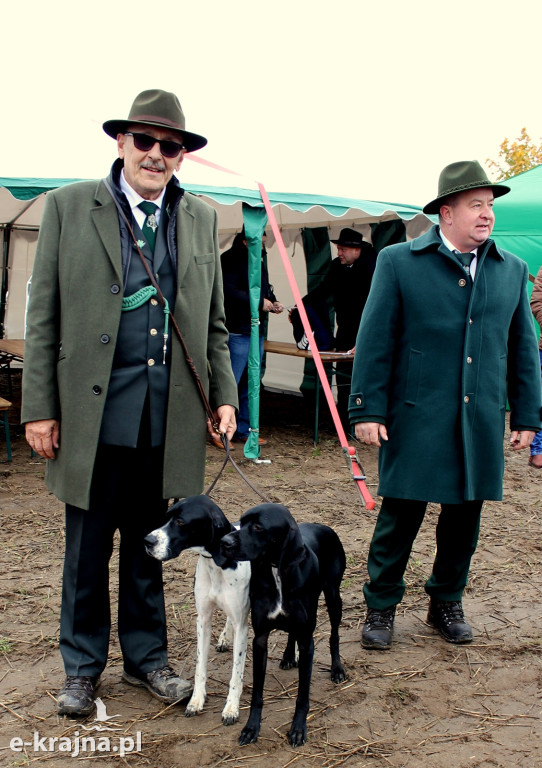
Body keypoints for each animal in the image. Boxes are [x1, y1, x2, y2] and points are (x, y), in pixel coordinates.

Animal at [144, 498, 251, 728]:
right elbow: (200, 666)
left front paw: (231, 708)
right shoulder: (203, 620)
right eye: (166, 517)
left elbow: (236, 673)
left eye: (181, 522)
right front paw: (196, 700)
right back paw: (224, 638)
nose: (147, 540)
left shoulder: (242, 627)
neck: (217, 565)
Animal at [221, 500, 348, 748]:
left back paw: (337, 669)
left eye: (259, 527)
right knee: (292, 633)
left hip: (333, 596)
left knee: (334, 635)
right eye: (242, 521)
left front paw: (298, 729)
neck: (276, 570)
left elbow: (302, 695)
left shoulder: (308, 642)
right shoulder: (260, 639)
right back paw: (289, 656)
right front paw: (251, 727)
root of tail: (324, 526)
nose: (225, 541)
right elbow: (257, 694)